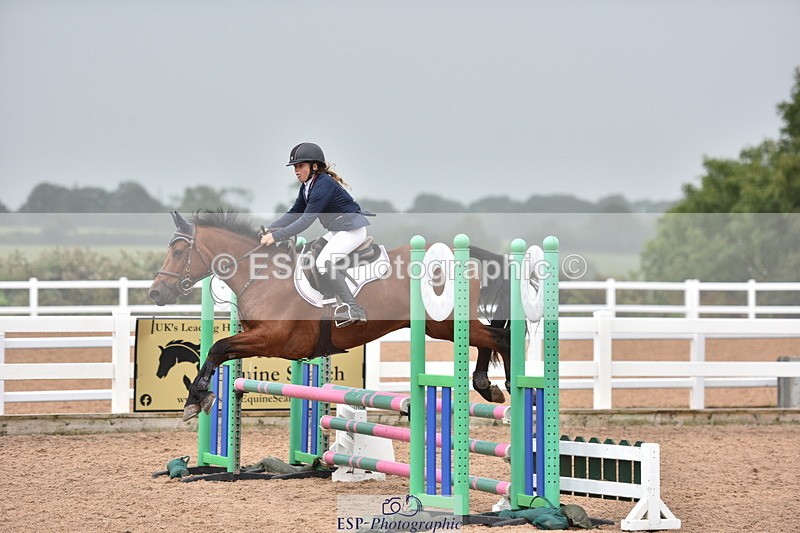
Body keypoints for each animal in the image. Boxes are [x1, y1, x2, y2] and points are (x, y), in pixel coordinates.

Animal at [149, 210, 513, 421]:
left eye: (178, 251)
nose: (156, 293)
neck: (262, 275)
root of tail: (457, 252)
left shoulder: (271, 339)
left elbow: (217, 348)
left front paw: (197, 398)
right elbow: (218, 352)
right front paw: (197, 398)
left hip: (443, 325)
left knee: (500, 338)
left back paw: (504, 387)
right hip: (444, 326)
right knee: (490, 339)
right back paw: (487, 386)